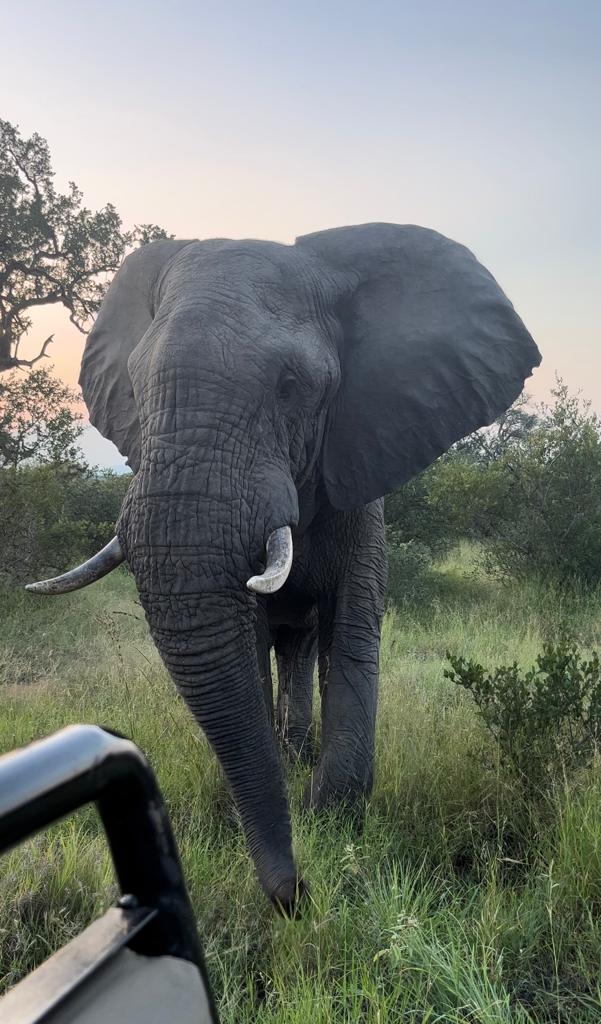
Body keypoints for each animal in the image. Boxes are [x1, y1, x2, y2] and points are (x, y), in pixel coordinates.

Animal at [27, 223, 541, 911]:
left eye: (290, 385)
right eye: (135, 386)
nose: (296, 894)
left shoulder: (361, 476)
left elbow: (351, 631)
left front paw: (336, 824)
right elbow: (245, 641)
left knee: (304, 647)